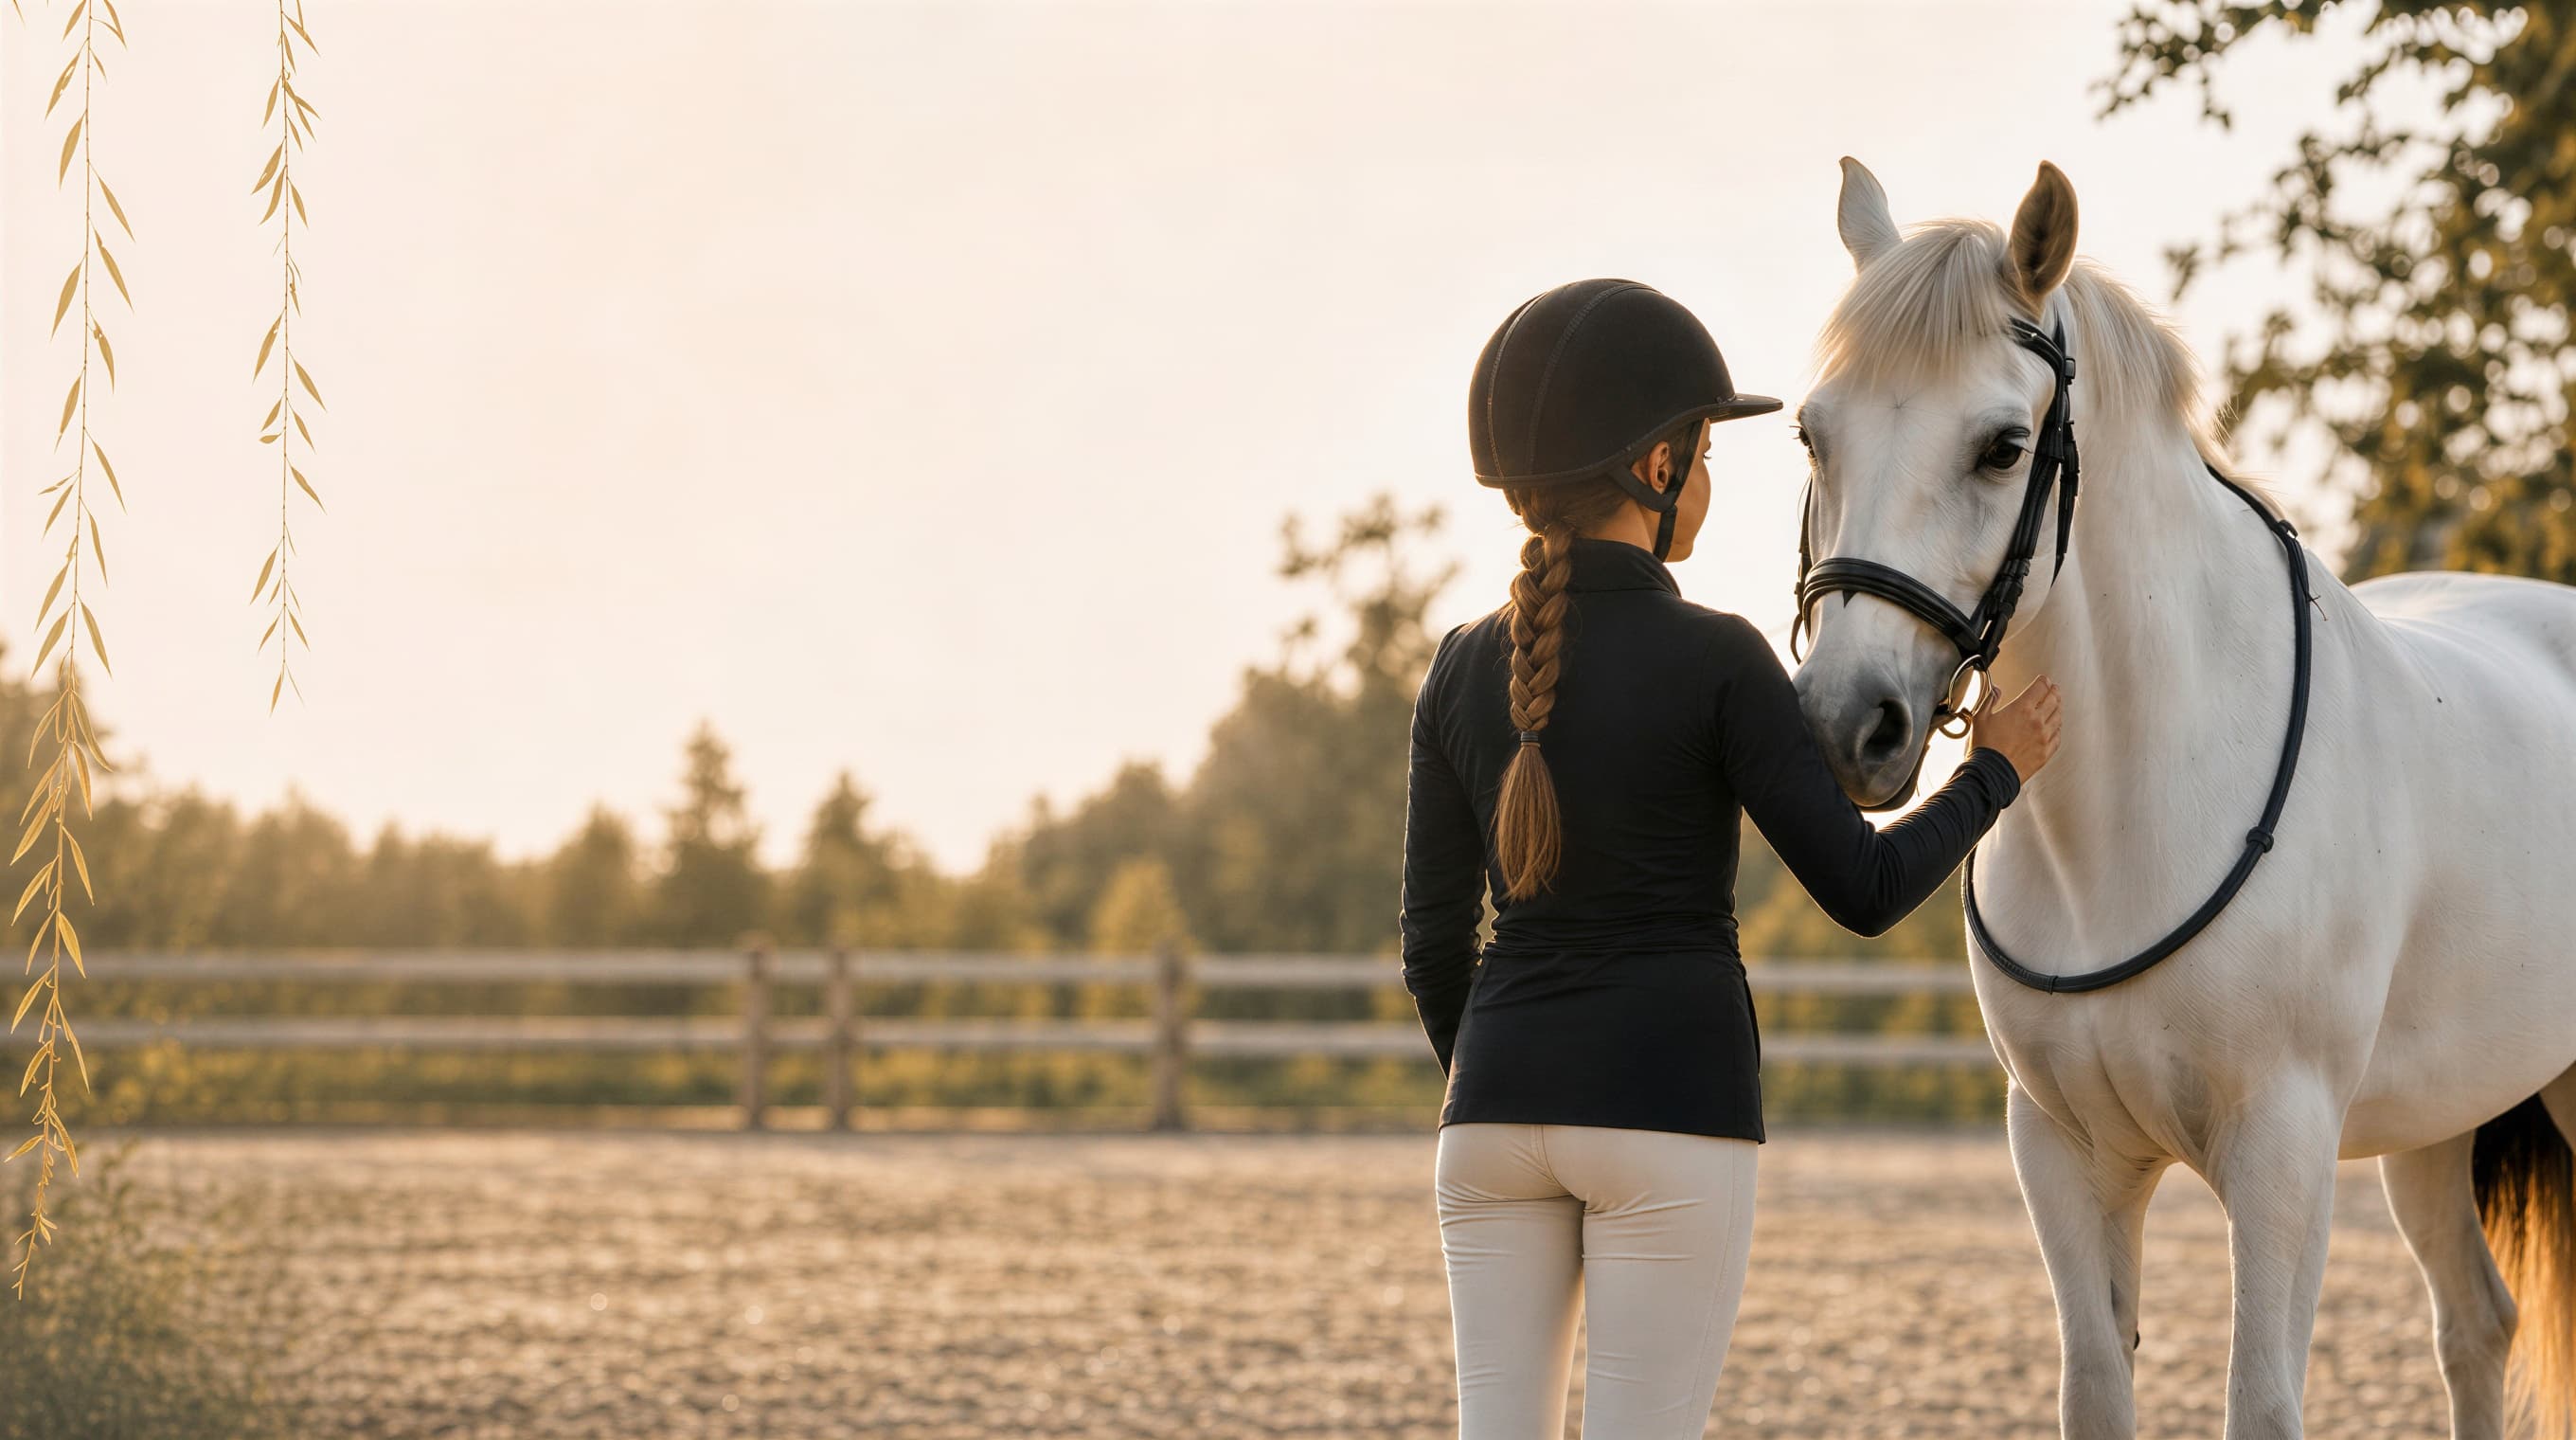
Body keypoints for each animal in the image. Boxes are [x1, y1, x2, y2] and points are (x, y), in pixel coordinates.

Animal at [1787, 156, 2576, 1440]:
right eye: (1813, 431)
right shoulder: (2061, 1150)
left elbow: (2258, 1401)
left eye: (2001, 445)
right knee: (2473, 1324)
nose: (1842, 726)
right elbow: (2094, 1386)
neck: (2135, 813)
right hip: (2436, 1118)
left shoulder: (2281, 1152)